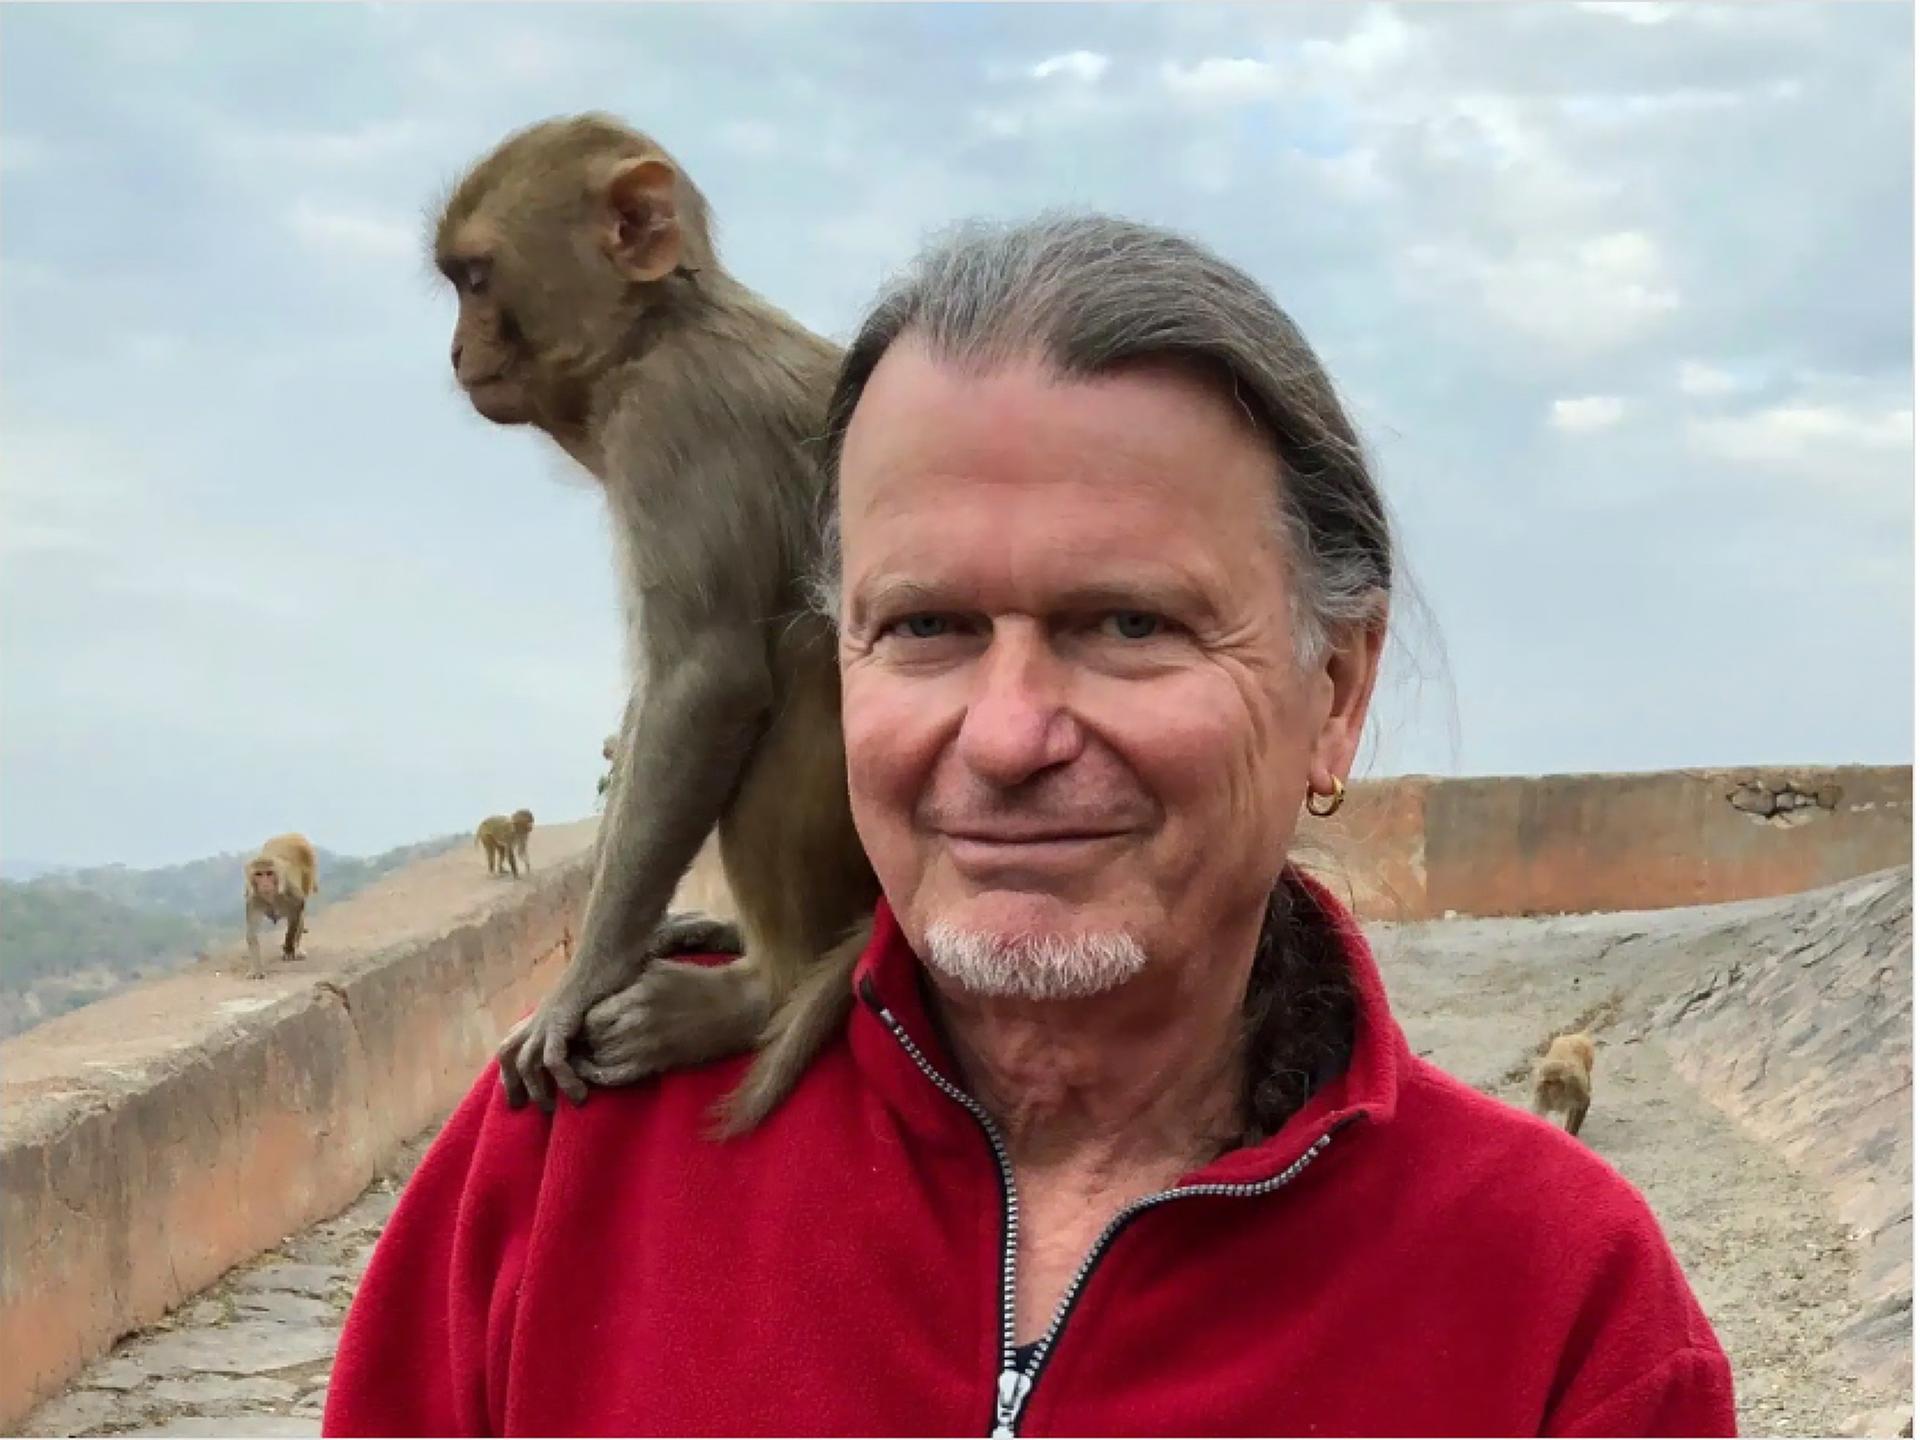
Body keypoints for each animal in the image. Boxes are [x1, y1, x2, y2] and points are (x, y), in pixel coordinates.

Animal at [242, 833, 318, 980]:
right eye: (259, 874)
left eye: (269, 873)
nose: (265, 884)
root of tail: (292, 835)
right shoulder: (253, 897)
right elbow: (252, 933)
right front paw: (256, 969)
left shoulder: (289, 890)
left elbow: (298, 907)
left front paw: (289, 948)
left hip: (309, 872)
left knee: (301, 912)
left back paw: (296, 948)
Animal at [436, 114, 878, 1128]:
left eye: (475, 280)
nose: (455, 350)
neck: (659, 329)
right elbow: (652, 703)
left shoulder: (674, 421)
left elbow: (705, 684)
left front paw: (579, 984)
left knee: (799, 653)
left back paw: (759, 991)